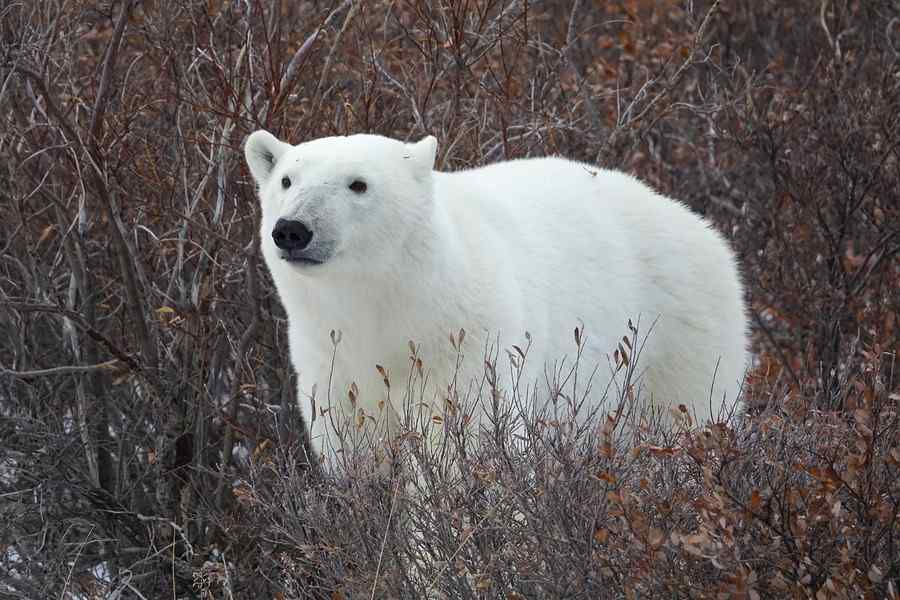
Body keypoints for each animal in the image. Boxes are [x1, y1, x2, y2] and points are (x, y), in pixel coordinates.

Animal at [244, 131, 749, 467]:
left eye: (358, 183)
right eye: (287, 180)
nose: (293, 230)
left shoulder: (465, 344)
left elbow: (462, 451)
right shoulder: (329, 358)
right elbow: (354, 451)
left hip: (677, 338)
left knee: (683, 422)